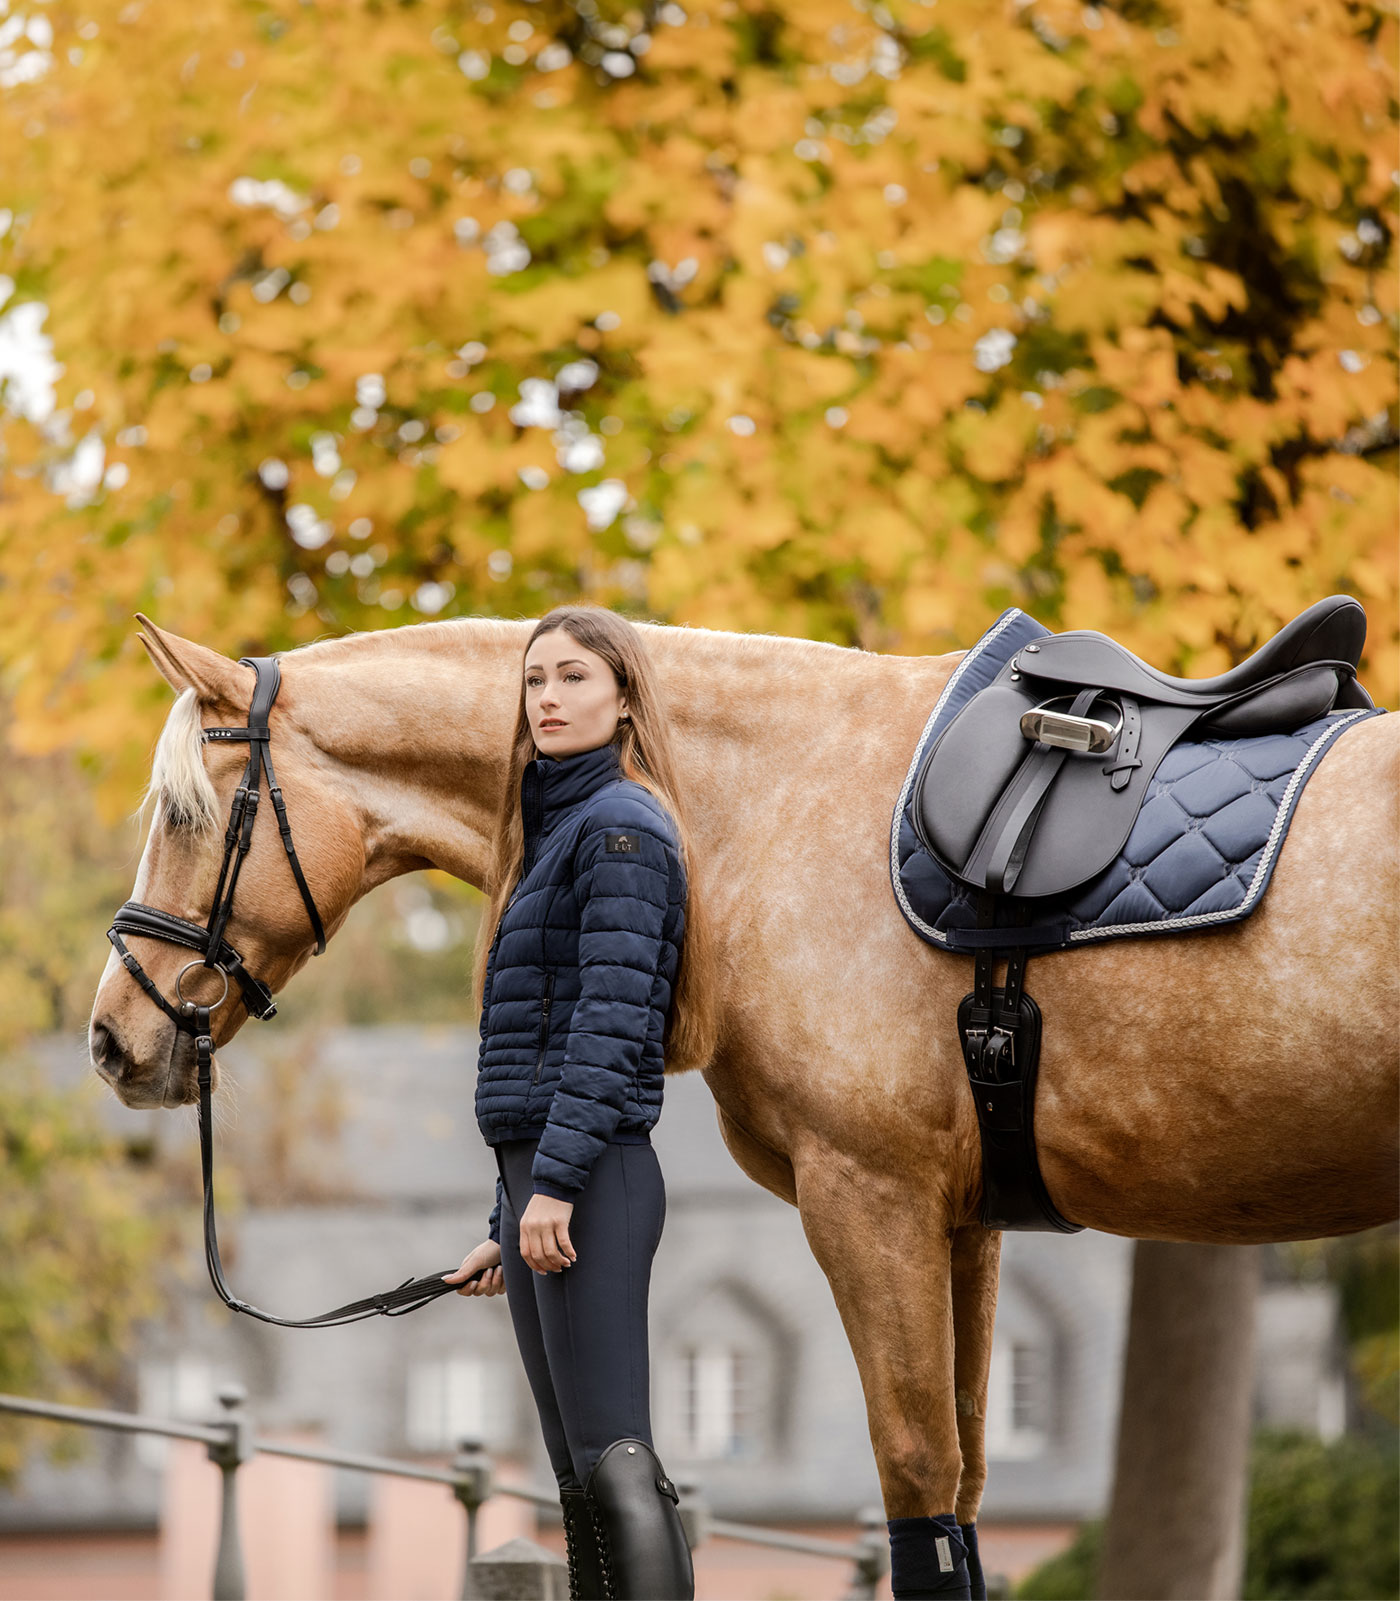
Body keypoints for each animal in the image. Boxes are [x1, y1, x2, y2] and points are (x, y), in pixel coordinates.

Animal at [90, 621, 1396, 1549]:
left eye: (184, 815)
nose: (112, 1038)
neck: (766, 803)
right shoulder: (963, 1220)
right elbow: (967, 1472)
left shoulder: (868, 1197)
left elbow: (917, 1482)